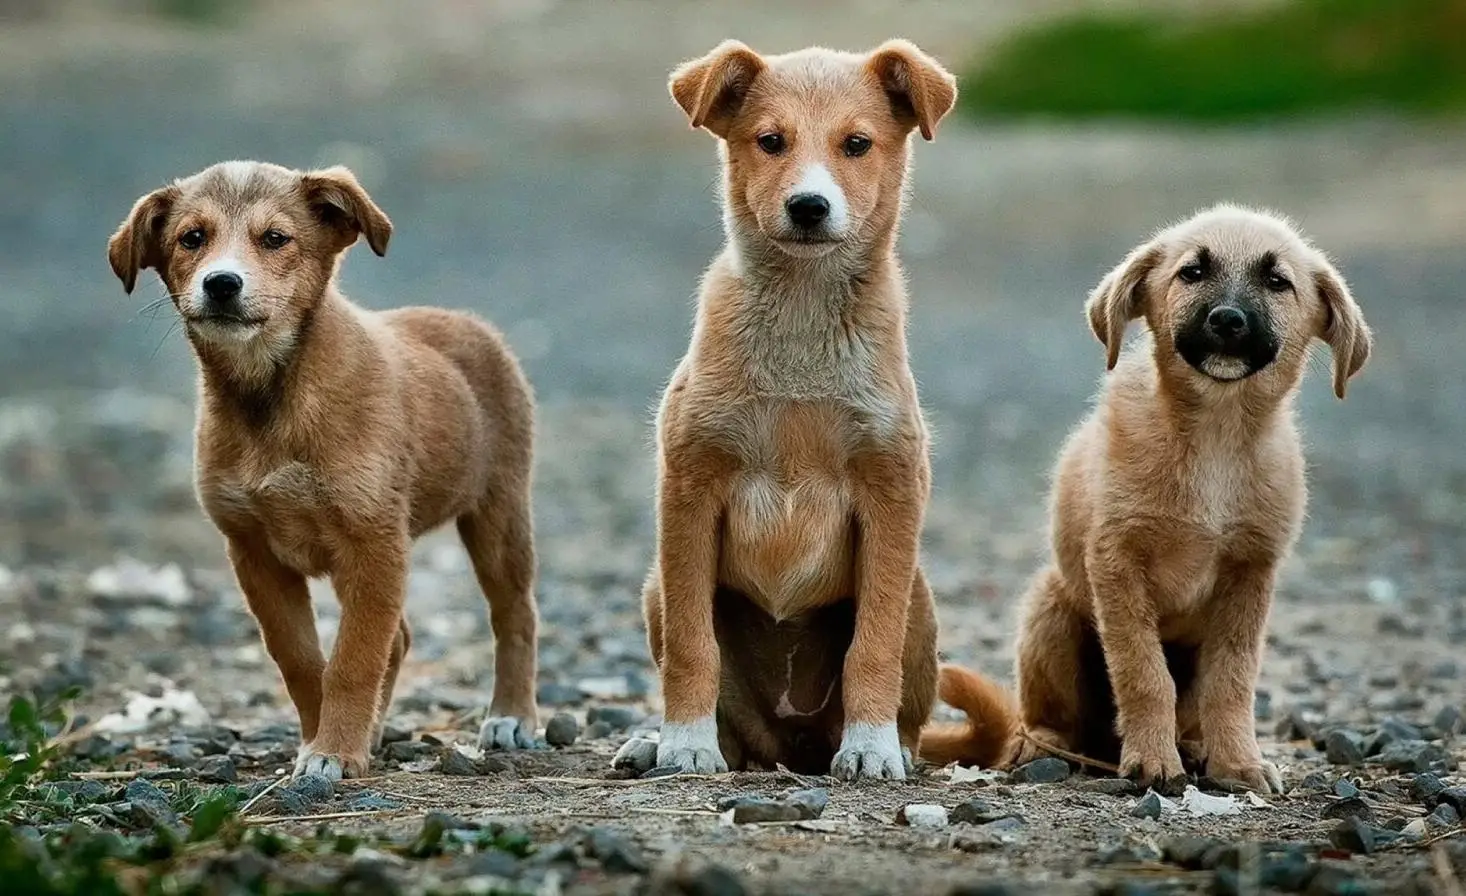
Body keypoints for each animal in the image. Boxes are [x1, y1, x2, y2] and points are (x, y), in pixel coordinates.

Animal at [108, 164, 542, 780]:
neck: (270, 397)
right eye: (192, 238)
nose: (222, 284)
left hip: (498, 514)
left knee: (514, 615)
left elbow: (353, 659)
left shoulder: (373, 543)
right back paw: (377, 730)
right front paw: (323, 741)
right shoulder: (254, 553)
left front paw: (334, 750)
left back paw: (511, 716)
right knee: (400, 637)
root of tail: (467, 322)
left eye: (275, 238)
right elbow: (302, 660)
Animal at [624, 38, 955, 780]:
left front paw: (870, 747)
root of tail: (793, 745)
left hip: (920, 597)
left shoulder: (893, 491)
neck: (802, 322)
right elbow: (692, 646)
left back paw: (890, 745)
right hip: (656, 586)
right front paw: (684, 743)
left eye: (857, 144)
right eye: (770, 141)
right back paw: (664, 743)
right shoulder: (689, 487)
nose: (808, 206)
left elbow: (873, 644)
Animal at [926, 205, 1372, 791]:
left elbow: (1232, 681)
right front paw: (1153, 761)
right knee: (1046, 718)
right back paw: (1046, 746)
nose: (1227, 320)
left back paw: (1196, 747)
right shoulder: (1117, 562)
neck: (1215, 435)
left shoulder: (1250, 573)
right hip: (1051, 610)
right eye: (1192, 272)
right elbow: (1143, 673)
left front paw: (1238, 763)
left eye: (1278, 282)